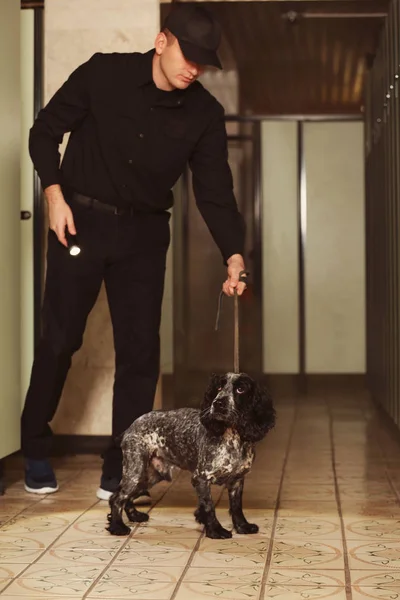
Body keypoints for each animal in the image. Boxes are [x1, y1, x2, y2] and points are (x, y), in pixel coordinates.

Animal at [105, 372, 276, 536]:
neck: (232, 438)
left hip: (150, 476)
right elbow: (208, 506)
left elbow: (236, 507)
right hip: (136, 471)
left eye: (240, 389)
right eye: (218, 388)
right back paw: (118, 527)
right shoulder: (201, 478)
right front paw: (215, 530)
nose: (217, 403)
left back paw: (134, 516)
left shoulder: (237, 480)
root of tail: (130, 428)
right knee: (117, 497)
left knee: (126, 497)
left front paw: (242, 527)